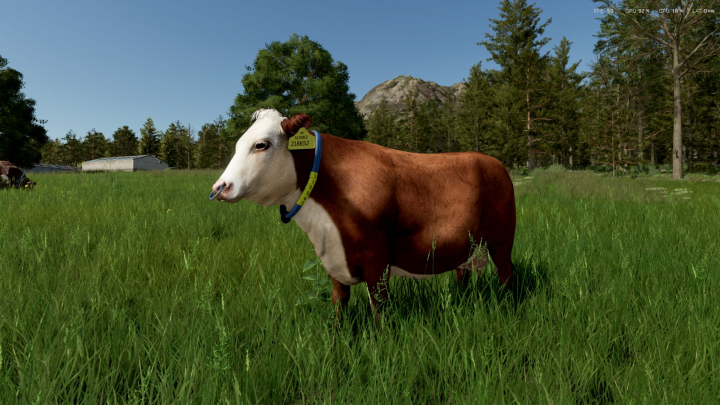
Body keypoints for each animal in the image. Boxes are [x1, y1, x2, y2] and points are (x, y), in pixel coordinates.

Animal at [210, 109, 515, 325]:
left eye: (261, 145)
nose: (219, 188)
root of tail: (492, 161)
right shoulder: (334, 256)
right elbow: (339, 302)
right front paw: (337, 337)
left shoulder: (377, 255)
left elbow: (378, 308)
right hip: (466, 243)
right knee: (463, 272)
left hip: (502, 238)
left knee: (506, 274)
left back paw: (507, 306)